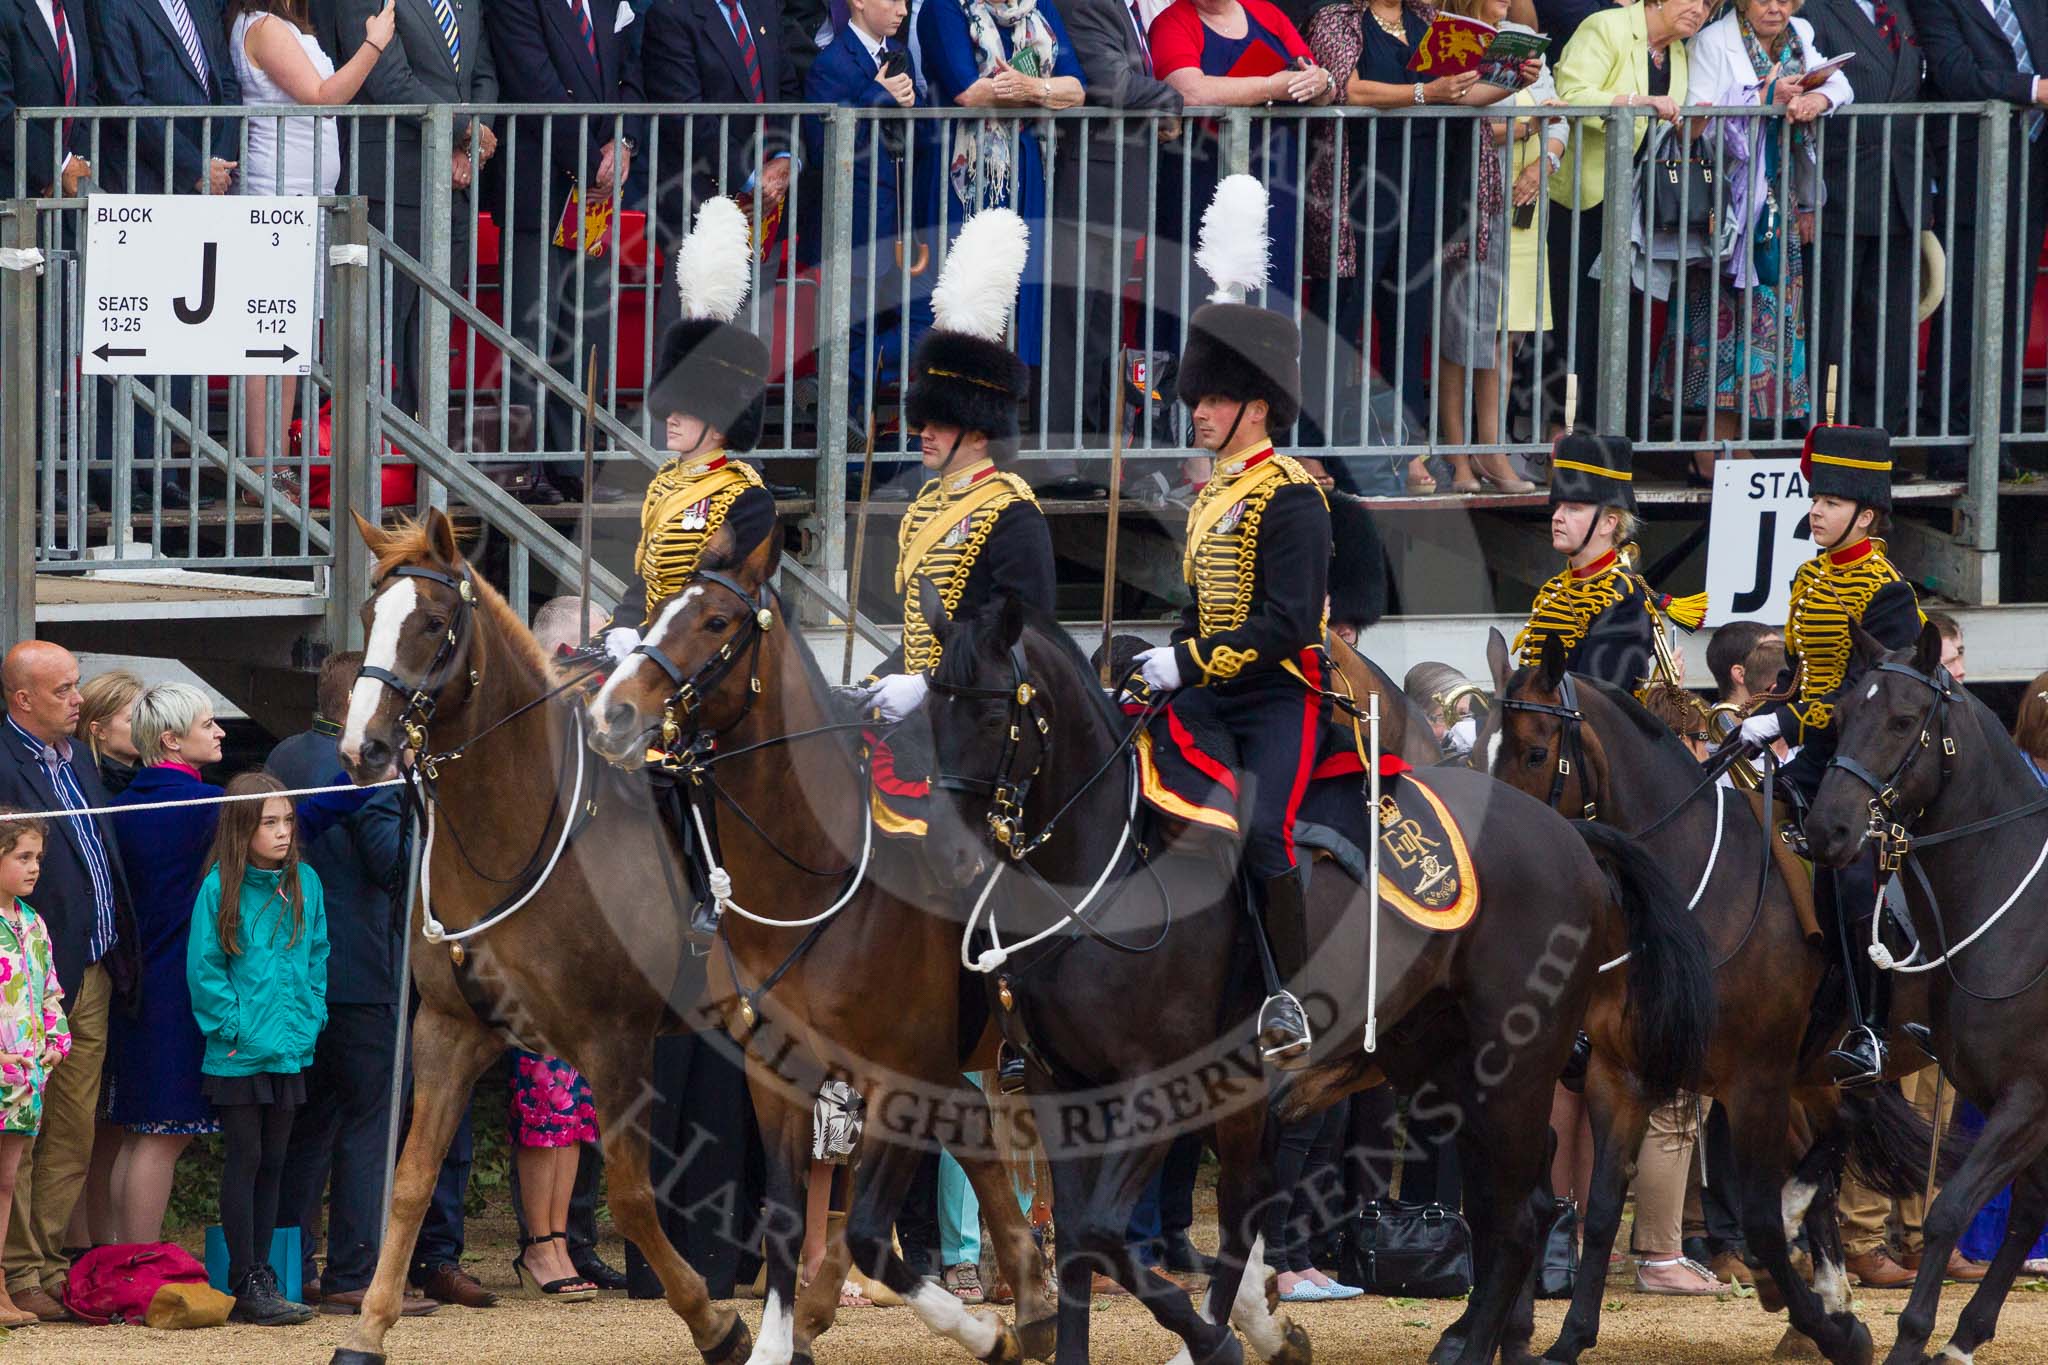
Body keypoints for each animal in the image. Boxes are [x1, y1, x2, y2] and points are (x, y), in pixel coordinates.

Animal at [327, 511, 753, 1365]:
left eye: (432, 622)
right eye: (368, 615)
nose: (364, 749)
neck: (525, 827)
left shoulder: (616, 1043)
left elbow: (631, 1196)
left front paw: (713, 1320)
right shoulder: (449, 1030)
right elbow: (413, 1180)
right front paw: (369, 1326)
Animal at [581, 523, 1056, 1365]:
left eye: (714, 622)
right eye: (657, 610)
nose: (611, 713)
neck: (816, 882)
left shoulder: (897, 1076)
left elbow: (865, 1229)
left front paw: (976, 1329)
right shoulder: (778, 1075)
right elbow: (785, 1213)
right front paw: (778, 1338)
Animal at [913, 593, 1712, 1365]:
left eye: (992, 711)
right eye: (929, 709)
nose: (947, 855)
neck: (1104, 871)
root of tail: (1568, 834)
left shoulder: (1161, 1087)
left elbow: (1109, 1231)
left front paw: (1223, 1341)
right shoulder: (1060, 1087)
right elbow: (1086, 1234)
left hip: (1515, 1063)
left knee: (1517, 1216)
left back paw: (1474, 1342)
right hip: (1441, 1061)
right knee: (1519, 1203)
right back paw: (1491, 1338)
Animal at [1482, 630, 1941, 1365]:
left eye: (1532, 752)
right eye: (1482, 751)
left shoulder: (1753, 1083)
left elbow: (1759, 1217)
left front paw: (1836, 1328)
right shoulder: (1624, 1076)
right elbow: (1604, 1207)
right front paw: (1569, 1339)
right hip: (1812, 1075)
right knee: (1838, 1136)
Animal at [1810, 626, 2048, 1365]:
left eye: (1903, 720)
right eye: (1842, 713)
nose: (1826, 830)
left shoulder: (2029, 1097)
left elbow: (1950, 1210)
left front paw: (1912, 1338)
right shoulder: (1993, 1095)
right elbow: (2019, 1207)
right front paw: (1958, 1337)